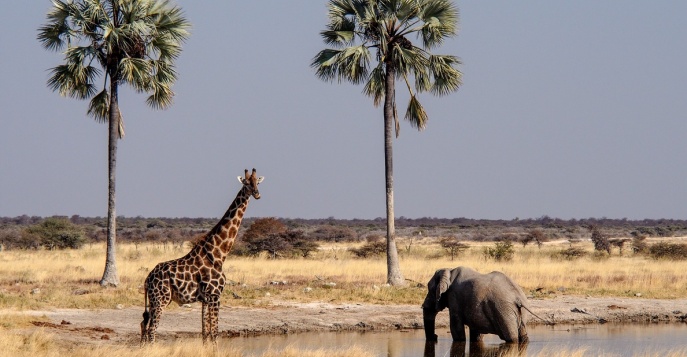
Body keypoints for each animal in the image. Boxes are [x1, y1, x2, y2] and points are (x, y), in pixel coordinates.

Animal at [141, 168, 264, 344]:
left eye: (257, 182)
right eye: (246, 183)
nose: (257, 194)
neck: (218, 254)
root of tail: (147, 279)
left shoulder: (206, 298)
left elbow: (205, 332)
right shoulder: (215, 295)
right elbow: (215, 332)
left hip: (153, 300)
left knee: (144, 324)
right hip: (160, 299)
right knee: (152, 330)